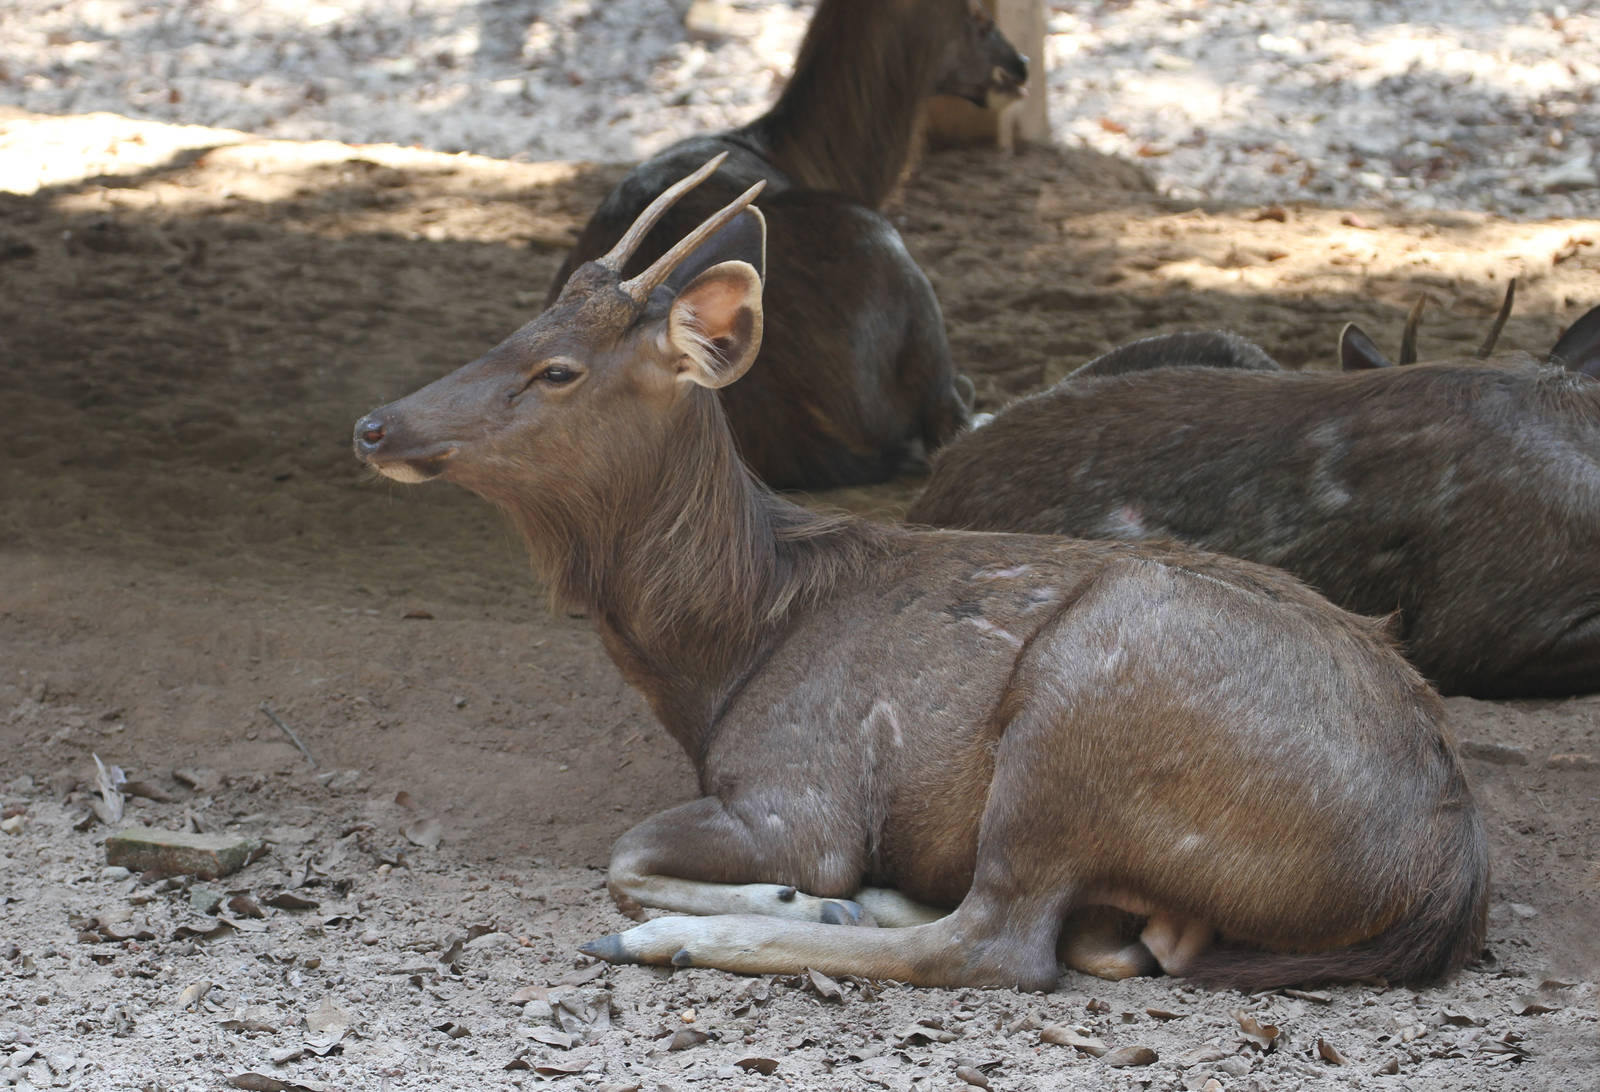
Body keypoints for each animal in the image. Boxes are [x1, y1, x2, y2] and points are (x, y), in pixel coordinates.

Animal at [354, 158, 1487, 992]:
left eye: (557, 371)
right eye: (521, 326)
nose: (375, 424)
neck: (725, 653)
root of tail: (1448, 867)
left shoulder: (798, 789)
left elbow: (630, 855)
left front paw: (784, 897)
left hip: (1085, 700)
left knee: (999, 944)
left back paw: (690, 937)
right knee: (1105, 945)